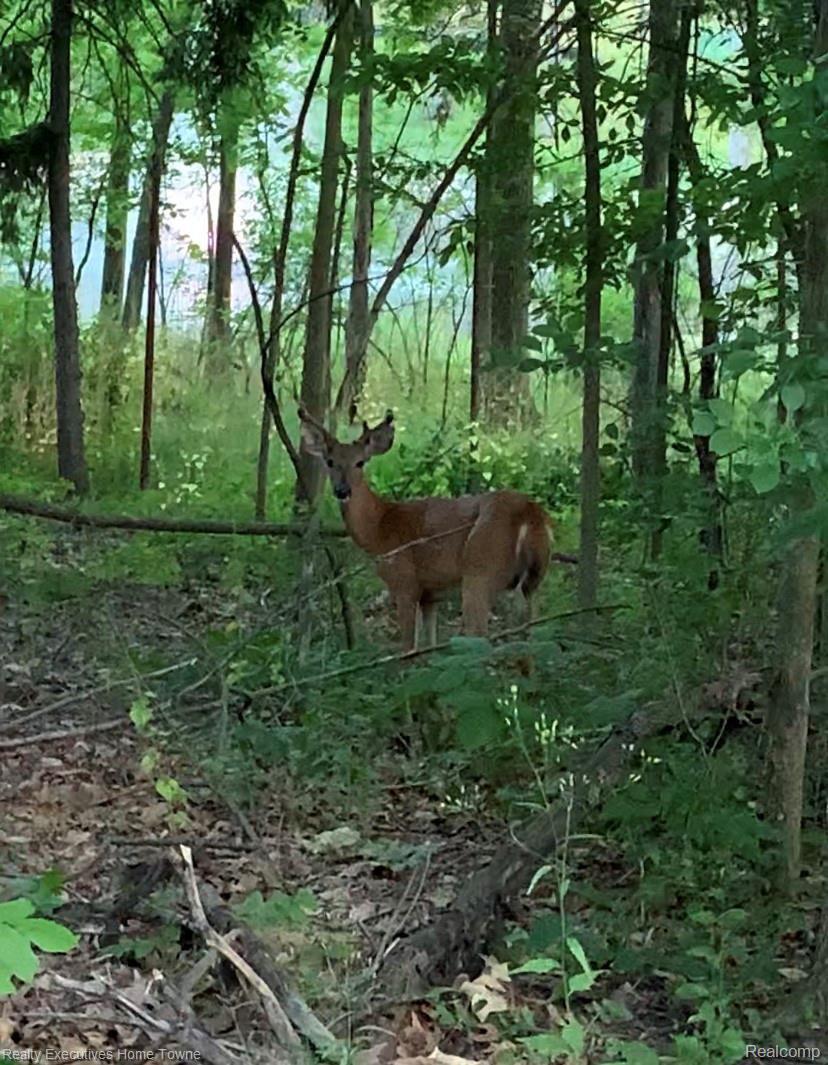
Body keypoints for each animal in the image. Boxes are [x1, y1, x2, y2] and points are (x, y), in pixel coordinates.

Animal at [298, 407, 555, 652]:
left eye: (360, 462)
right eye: (330, 461)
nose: (342, 490)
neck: (380, 528)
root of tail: (529, 513)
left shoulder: (405, 582)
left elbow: (409, 650)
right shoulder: (430, 594)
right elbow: (429, 647)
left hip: (479, 572)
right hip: (534, 581)